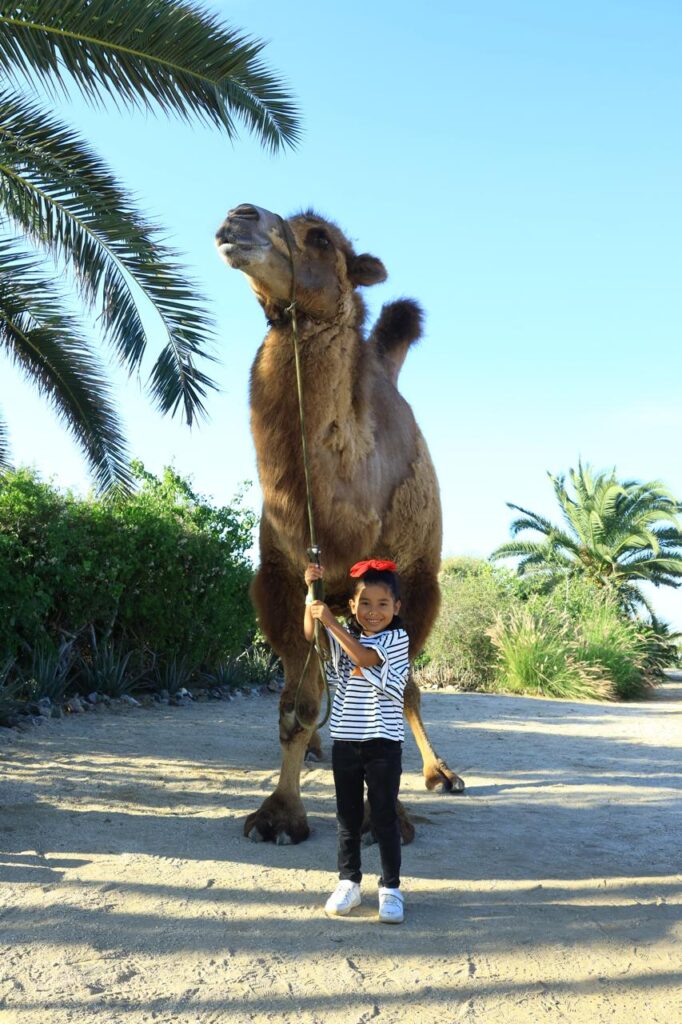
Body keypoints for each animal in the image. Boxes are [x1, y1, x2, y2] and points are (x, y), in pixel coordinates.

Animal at [215, 204, 464, 845]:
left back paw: (441, 774)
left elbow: (398, 690)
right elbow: (296, 704)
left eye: (321, 238)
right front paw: (279, 814)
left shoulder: (412, 585)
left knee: (406, 689)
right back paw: (317, 752)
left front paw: (392, 819)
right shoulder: (282, 580)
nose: (238, 216)